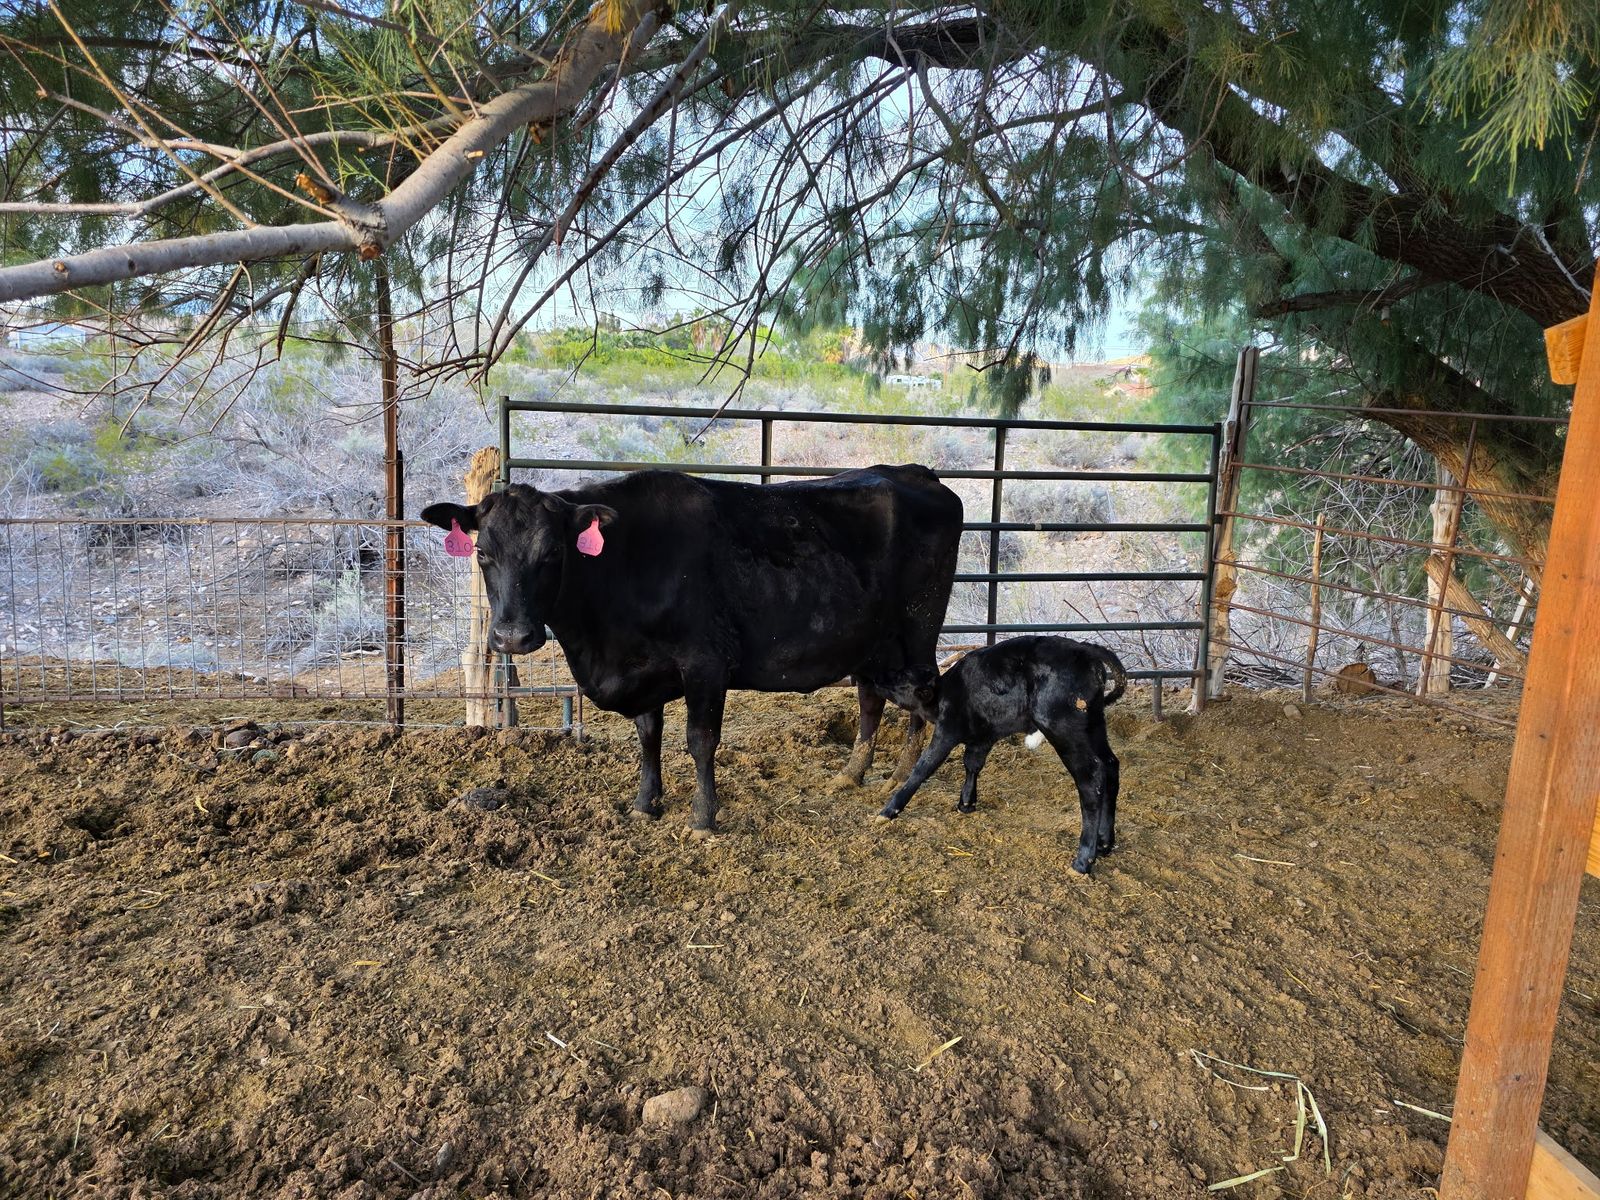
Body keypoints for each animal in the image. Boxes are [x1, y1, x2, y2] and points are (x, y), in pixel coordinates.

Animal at [421, 465, 963, 833]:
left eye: (553, 552)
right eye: (482, 552)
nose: (512, 637)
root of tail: (914, 472)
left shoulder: (705, 663)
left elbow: (700, 740)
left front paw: (703, 817)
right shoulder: (642, 670)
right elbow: (648, 736)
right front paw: (645, 804)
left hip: (917, 632)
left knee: (926, 697)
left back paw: (901, 778)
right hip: (871, 644)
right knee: (873, 698)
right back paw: (855, 774)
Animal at [875, 635, 1126, 874]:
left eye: (902, 676)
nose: (878, 675)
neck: (945, 693)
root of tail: (1084, 647)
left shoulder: (947, 731)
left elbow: (923, 767)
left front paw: (888, 810)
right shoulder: (983, 737)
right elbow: (972, 764)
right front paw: (966, 802)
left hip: (1062, 727)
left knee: (1091, 778)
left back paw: (1083, 860)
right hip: (1094, 725)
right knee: (1110, 765)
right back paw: (1105, 843)